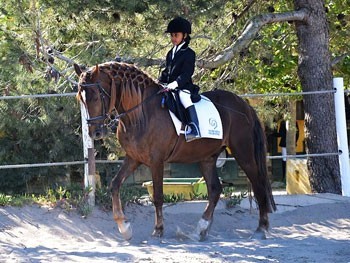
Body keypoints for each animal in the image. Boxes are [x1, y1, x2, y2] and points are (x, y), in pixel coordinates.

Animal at [74, 60, 276, 242]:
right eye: (81, 98)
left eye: (95, 95)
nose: (95, 133)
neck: (140, 113)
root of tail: (244, 105)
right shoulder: (133, 158)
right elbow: (115, 185)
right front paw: (124, 227)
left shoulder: (156, 161)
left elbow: (157, 196)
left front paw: (158, 230)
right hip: (207, 158)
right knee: (215, 189)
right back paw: (201, 230)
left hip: (243, 152)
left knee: (258, 185)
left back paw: (261, 229)